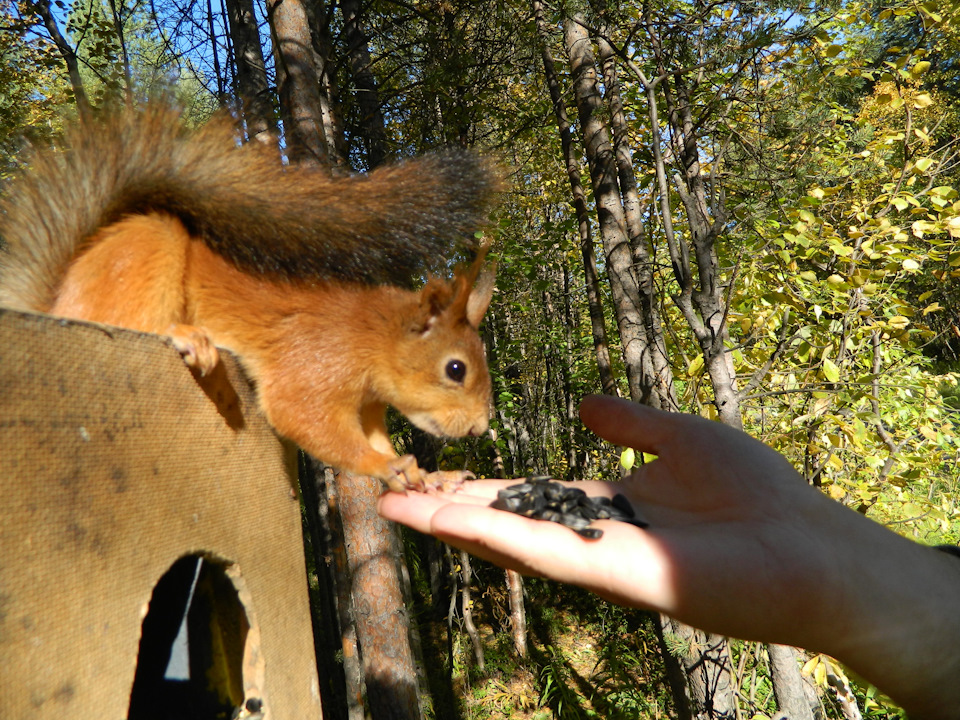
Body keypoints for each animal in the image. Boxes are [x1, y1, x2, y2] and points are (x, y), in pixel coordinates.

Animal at [1, 102, 502, 496]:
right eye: (455, 369)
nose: (481, 427)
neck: (373, 335)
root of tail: (55, 298)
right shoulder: (313, 368)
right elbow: (303, 417)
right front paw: (385, 466)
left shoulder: (370, 408)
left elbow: (376, 437)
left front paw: (430, 476)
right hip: (147, 258)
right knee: (127, 322)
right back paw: (187, 336)